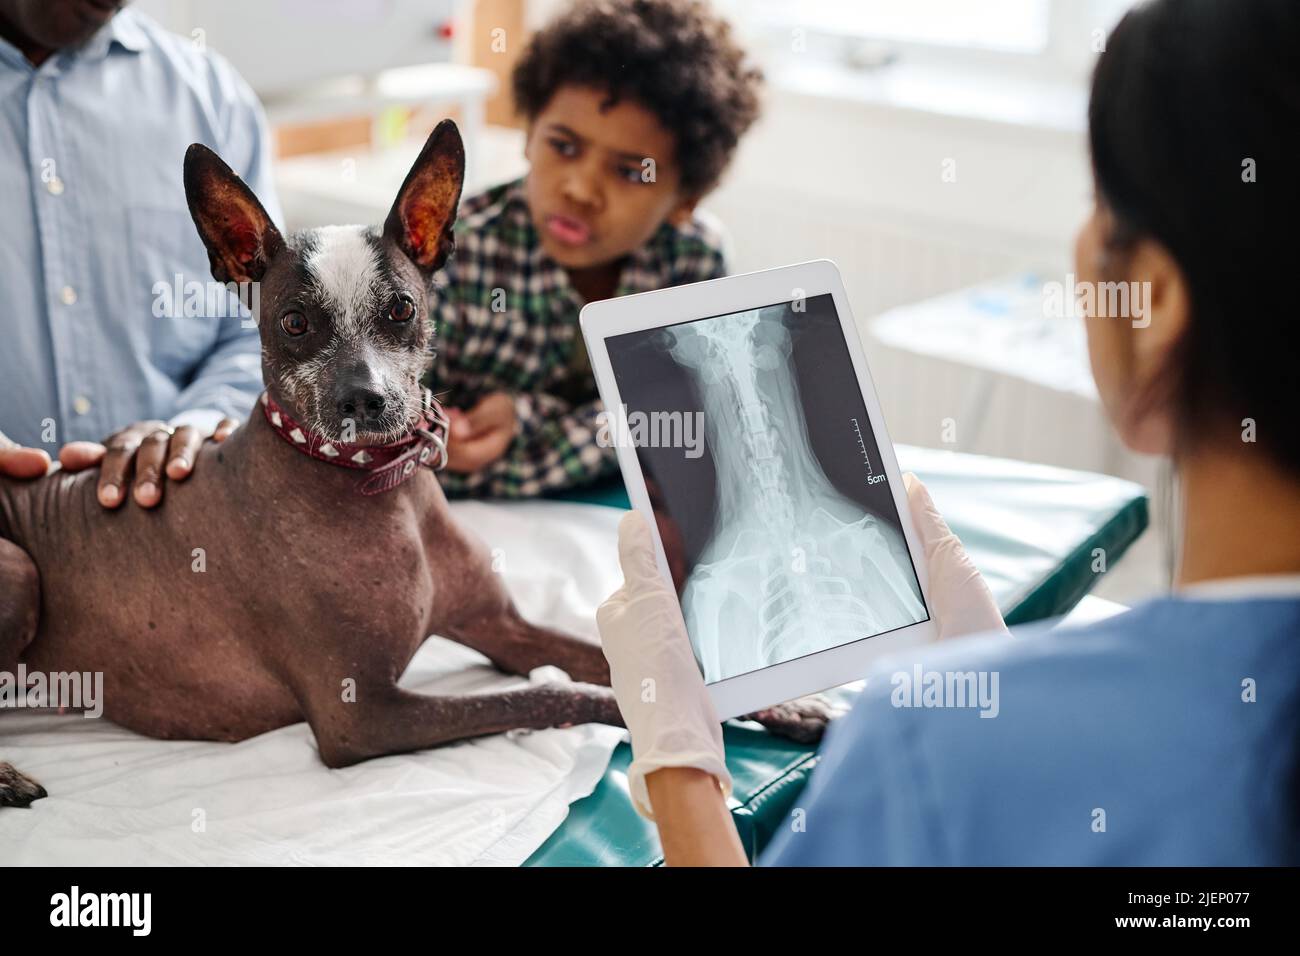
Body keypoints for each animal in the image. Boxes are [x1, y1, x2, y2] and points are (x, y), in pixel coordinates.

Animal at [0, 117, 826, 806]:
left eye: (400, 308)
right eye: (294, 323)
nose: (364, 399)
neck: (381, 490)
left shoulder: (504, 626)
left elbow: (650, 658)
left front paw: (783, 700)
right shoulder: (362, 715)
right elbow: (550, 694)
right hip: (20, 571)